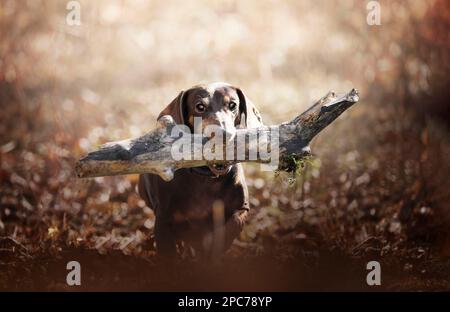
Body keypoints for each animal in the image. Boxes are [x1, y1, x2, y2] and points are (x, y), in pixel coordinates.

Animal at [137, 81, 264, 258]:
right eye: (200, 106)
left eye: (232, 105)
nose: (223, 135)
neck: (206, 178)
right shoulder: (163, 219)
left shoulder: (241, 208)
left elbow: (230, 228)